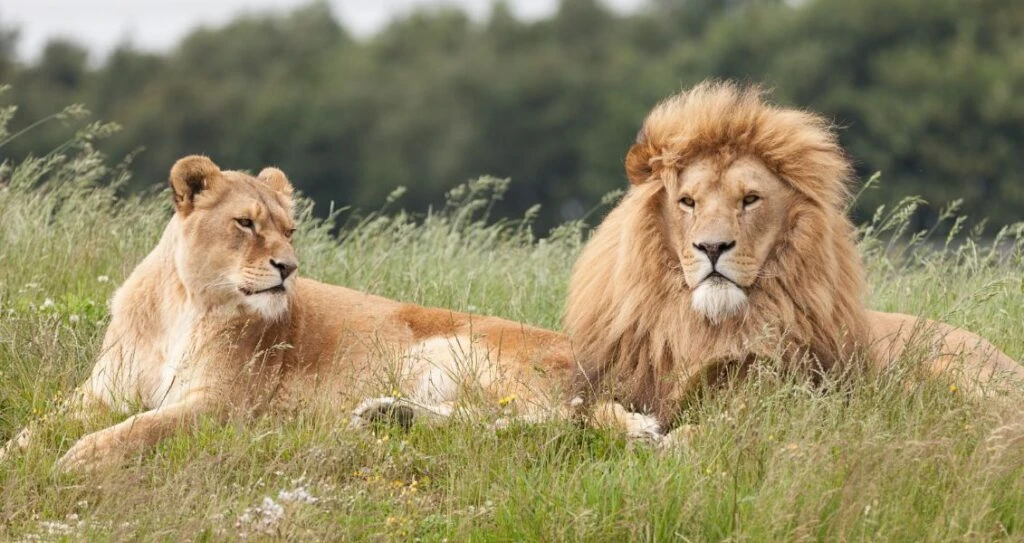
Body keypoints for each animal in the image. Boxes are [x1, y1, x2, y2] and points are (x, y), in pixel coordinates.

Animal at [1, 156, 590, 471]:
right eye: (244, 223)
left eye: (290, 229)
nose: (288, 267)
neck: (185, 304)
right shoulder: (102, 391)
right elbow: (37, 428)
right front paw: (16, 457)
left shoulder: (223, 403)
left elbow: (141, 428)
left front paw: (78, 459)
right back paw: (387, 416)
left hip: (460, 350)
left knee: (554, 420)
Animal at [567, 81, 1024, 428]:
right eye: (687, 202)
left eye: (750, 199)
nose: (712, 247)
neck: (705, 327)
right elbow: (592, 413)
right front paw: (637, 427)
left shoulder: (779, 399)